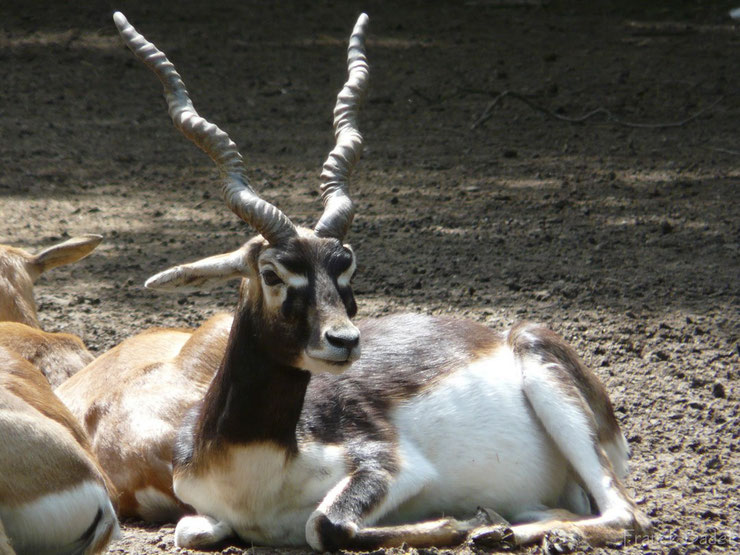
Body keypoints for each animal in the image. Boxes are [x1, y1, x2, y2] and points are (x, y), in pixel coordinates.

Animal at [59, 10, 648, 552]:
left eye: (346, 266)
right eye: (272, 272)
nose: (344, 340)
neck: (257, 463)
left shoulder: (390, 467)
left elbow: (324, 525)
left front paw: (454, 524)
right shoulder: (200, 509)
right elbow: (193, 531)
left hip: (551, 384)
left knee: (625, 515)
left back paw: (498, 530)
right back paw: (506, 526)